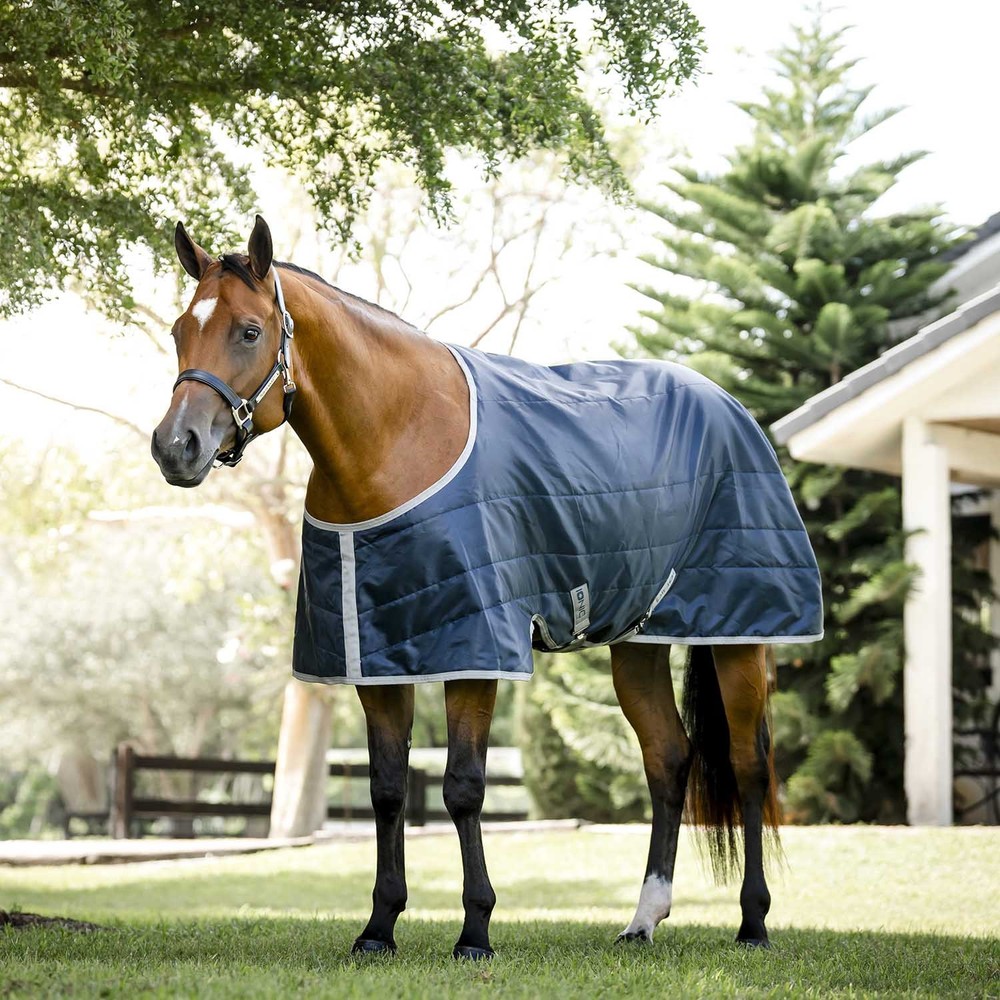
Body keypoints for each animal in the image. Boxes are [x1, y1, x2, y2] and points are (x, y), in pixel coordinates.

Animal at [152, 216, 823, 957]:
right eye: (180, 330)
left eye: (248, 331)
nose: (175, 446)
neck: (396, 438)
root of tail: (731, 408)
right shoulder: (375, 658)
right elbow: (389, 790)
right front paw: (379, 928)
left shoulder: (474, 650)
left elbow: (463, 788)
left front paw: (475, 929)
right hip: (637, 644)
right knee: (669, 759)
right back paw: (643, 918)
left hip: (741, 636)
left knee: (747, 763)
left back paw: (753, 921)